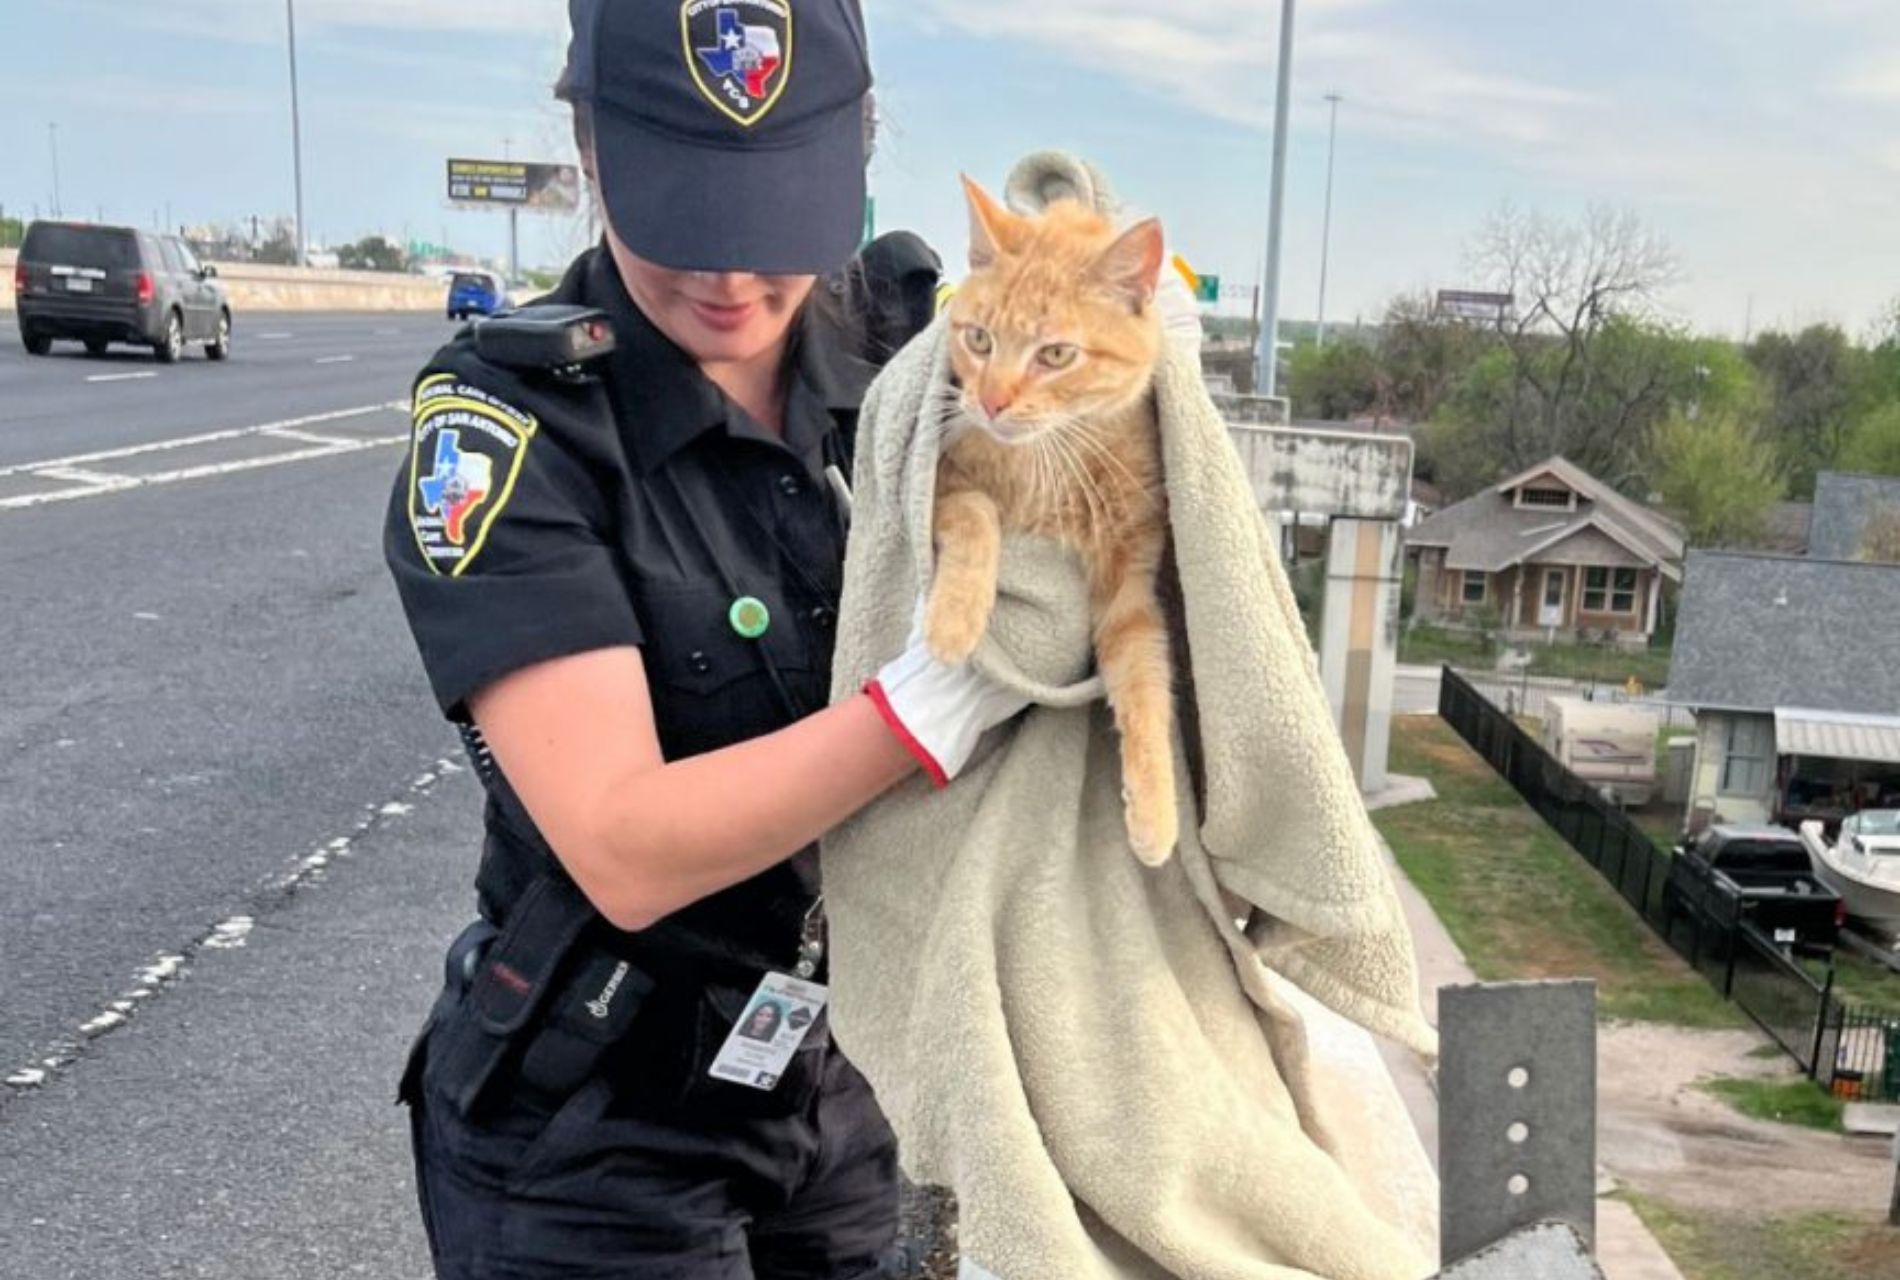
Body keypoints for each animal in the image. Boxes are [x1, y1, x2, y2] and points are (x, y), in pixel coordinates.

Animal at [931, 174, 1178, 862]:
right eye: (979, 339)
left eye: (1057, 354)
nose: (990, 402)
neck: (1051, 461)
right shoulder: (945, 481)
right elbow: (977, 512)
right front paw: (954, 619)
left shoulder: (1130, 581)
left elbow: (1146, 681)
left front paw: (1156, 809)